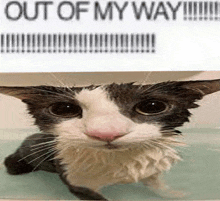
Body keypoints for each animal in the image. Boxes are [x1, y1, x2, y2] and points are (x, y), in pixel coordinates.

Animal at [0, 78, 220, 199]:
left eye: (152, 106)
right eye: (63, 109)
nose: (107, 132)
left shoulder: (150, 170)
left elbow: (156, 183)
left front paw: (172, 194)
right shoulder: (78, 184)